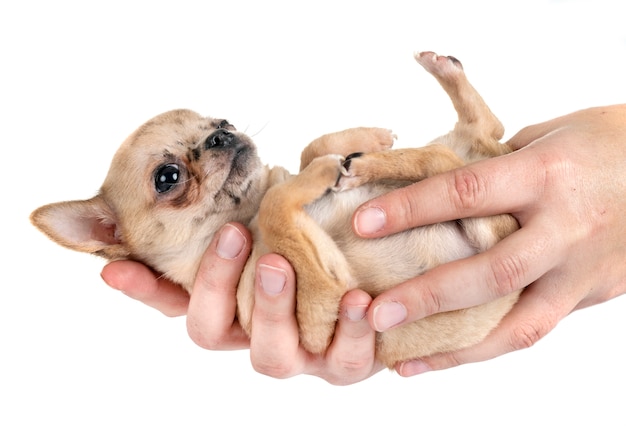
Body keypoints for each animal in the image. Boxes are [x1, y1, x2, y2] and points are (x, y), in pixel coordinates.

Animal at [30, 51, 516, 368]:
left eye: (223, 121)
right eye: (167, 177)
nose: (223, 135)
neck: (246, 217)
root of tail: (487, 157)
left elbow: (304, 155)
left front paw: (362, 139)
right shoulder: (322, 308)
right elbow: (276, 204)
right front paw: (328, 168)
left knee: (476, 134)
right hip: (488, 219)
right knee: (450, 155)